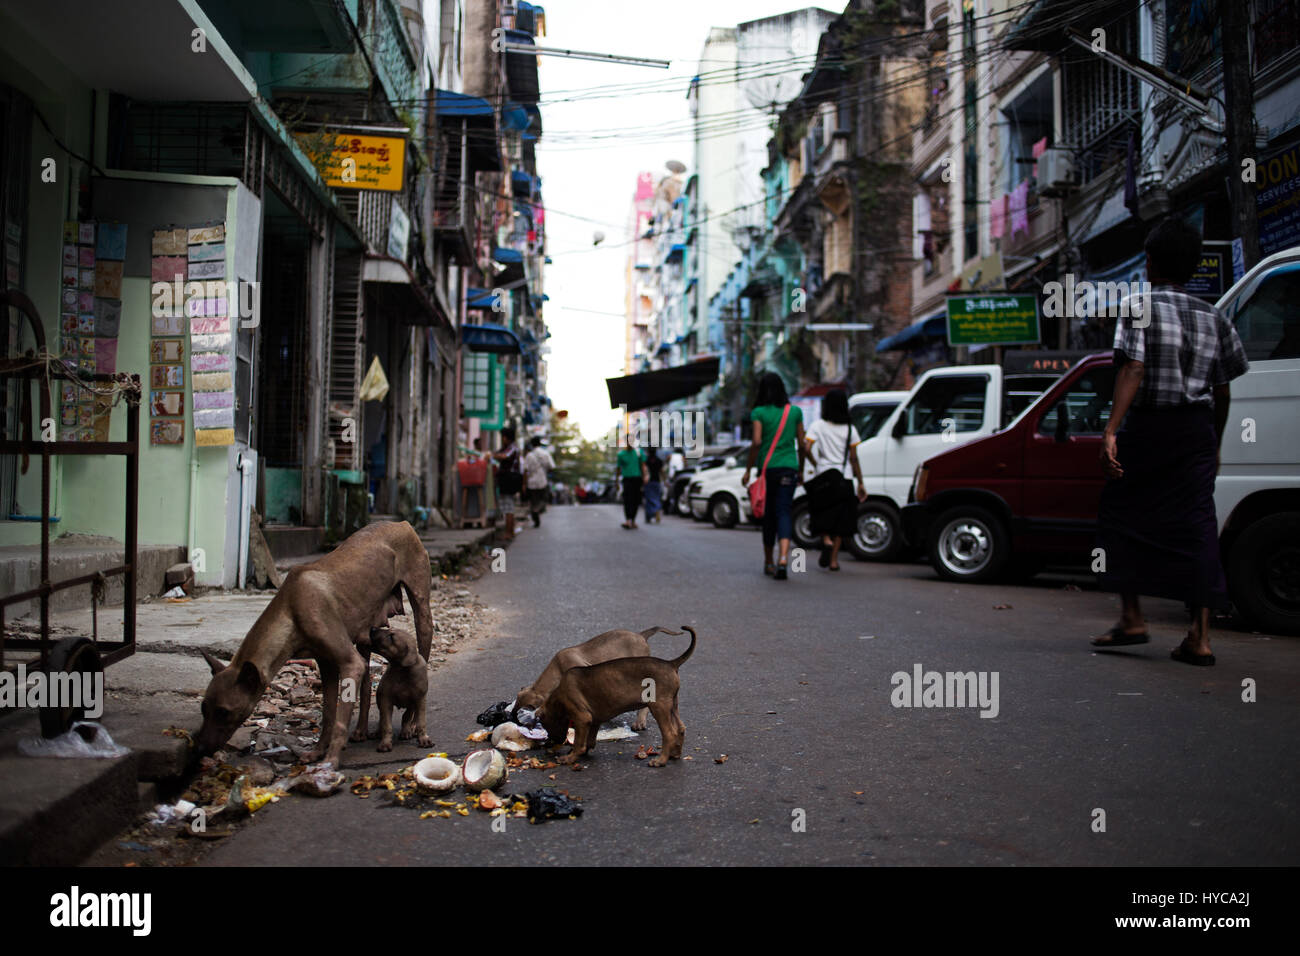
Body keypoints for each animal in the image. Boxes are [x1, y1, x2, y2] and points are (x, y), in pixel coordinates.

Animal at [193, 520, 431, 764]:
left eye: (224, 712)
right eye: (203, 708)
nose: (199, 748)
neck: (291, 607)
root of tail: (401, 523)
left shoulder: (349, 663)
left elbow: (339, 721)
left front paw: (330, 761)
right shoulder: (325, 662)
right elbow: (328, 712)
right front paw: (318, 751)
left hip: (422, 617)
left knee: (419, 673)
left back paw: (411, 726)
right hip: (367, 632)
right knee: (366, 685)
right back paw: (362, 730)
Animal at [535, 629, 696, 770]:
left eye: (546, 725)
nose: (547, 745)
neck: (558, 696)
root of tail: (671, 663)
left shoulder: (582, 717)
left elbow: (579, 743)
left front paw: (570, 757)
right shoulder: (594, 719)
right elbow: (590, 740)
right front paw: (581, 752)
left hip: (659, 706)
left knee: (669, 734)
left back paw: (660, 760)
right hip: (672, 704)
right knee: (681, 728)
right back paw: (675, 754)